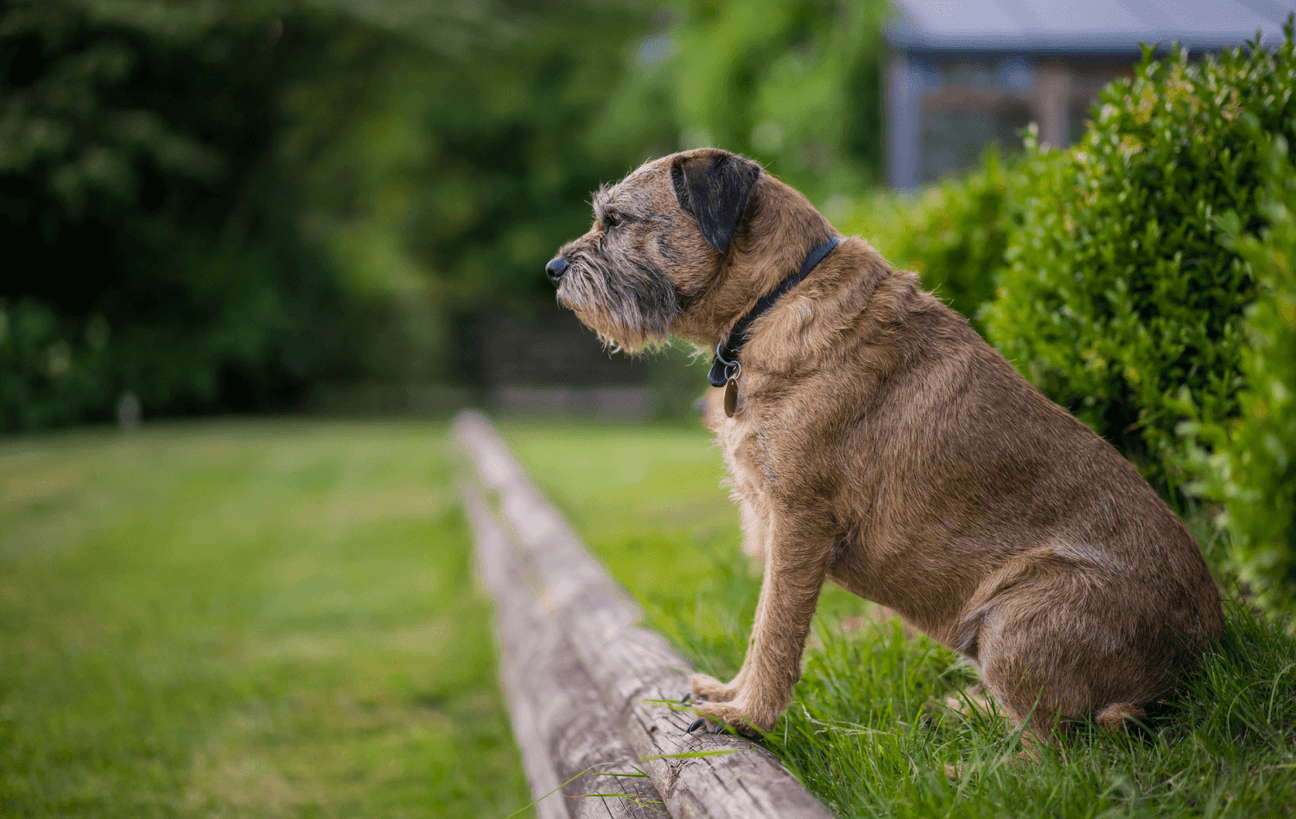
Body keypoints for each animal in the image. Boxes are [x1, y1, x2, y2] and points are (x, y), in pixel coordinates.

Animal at [546, 147, 1223, 741]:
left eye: (616, 220)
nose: (553, 271)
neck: (777, 297)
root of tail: (1205, 658)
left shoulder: (799, 521)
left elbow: (774, 629)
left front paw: (745, 717)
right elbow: (762, 623)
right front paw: (729, 693)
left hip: (1017, 620)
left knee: (1056, 752)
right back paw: (965, 710)